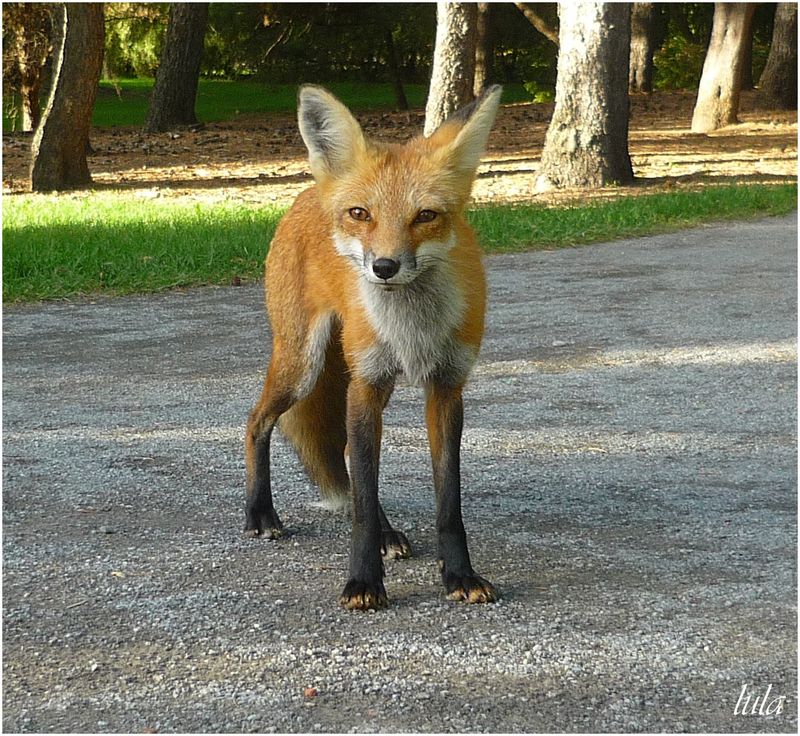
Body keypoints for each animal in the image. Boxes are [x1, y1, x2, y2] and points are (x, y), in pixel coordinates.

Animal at [247, 83, 504, 608]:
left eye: (425, 216)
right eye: (360, 214)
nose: (384, 267)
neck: (412, 331)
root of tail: (309, 192)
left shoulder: (446, 386)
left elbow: (448, 501)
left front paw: (460, 574)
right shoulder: (366, 382)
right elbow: (363, 500)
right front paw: (363, 581)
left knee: (345, 454)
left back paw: (388, 533)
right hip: (302, 365)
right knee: (256, 421)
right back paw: (260, 513)